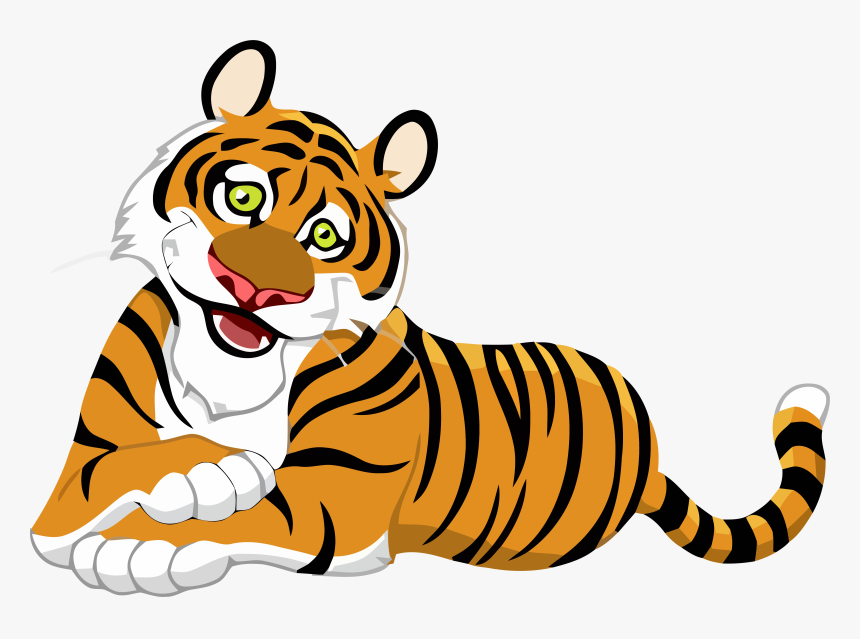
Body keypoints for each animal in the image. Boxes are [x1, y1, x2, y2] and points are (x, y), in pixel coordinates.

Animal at [31, 41, 828, 595]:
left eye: (325, 236)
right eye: (245, 197)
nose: (255, 289)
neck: (229, 380)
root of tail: (651, 456)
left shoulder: (334, 498)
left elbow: (252, 511)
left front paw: (142, 542)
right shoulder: (73, 477)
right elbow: (100, 483)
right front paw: (205, 468)